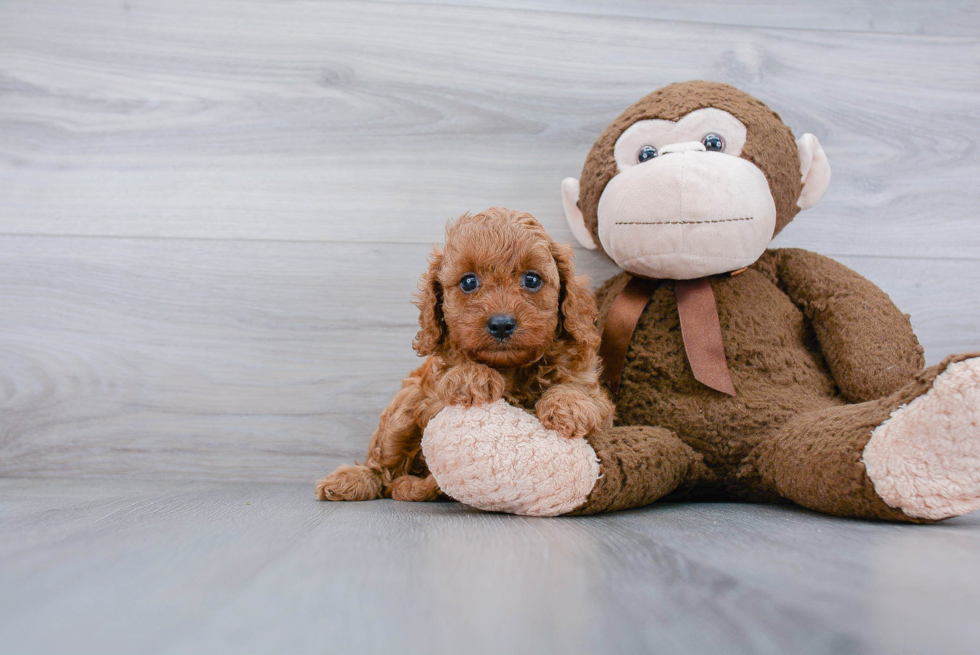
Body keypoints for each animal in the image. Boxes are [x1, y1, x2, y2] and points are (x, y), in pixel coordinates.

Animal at [318, 208, 612, 504]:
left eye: (532, 280)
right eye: (469, 282)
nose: (501, 324)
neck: (510, 368)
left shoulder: (595, 393)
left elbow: (581, 392)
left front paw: (568, 406)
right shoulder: (431, 394)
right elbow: (454, 378)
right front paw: (472, 376)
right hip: (402, 408)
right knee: (384, 467)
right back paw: (355, 480)